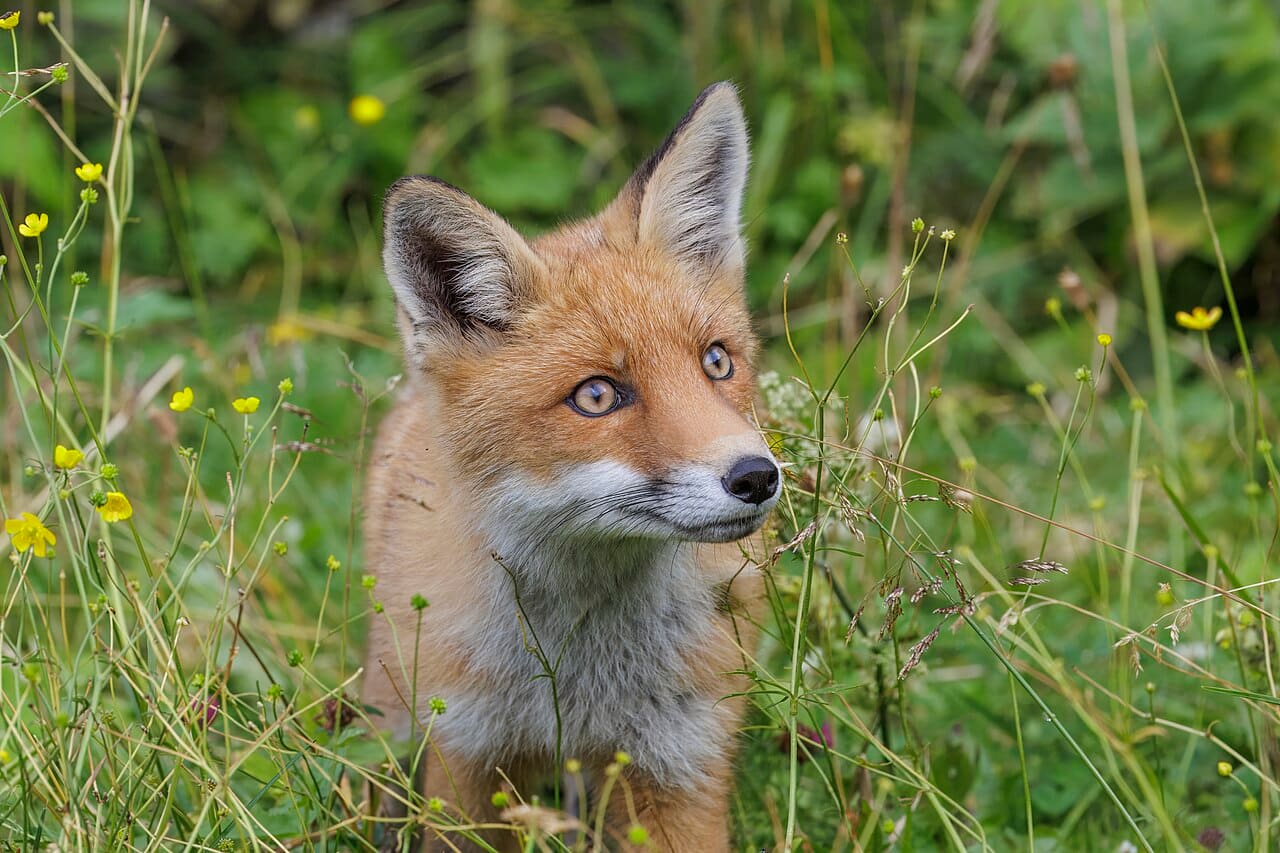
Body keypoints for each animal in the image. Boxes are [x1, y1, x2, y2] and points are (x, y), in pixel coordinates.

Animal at [362, 82, 780, 852]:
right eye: (596, 396)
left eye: (716, 361)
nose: (756, 477)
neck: (581, 672)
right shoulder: (469, 760)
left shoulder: (677, 761)